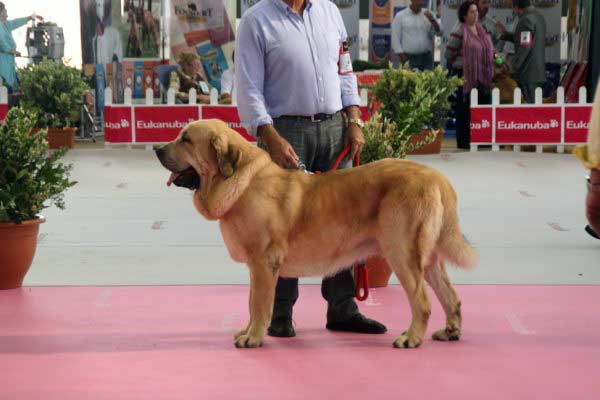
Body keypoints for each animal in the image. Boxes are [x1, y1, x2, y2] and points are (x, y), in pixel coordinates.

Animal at [156, 120, 478, 348]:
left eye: (186, 139)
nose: (157, 149)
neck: (240, 181)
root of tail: (437, 177)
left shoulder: (263, 263)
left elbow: (259, 303)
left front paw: (254, 337)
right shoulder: (256, 267)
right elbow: (251, 302)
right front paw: (247, 331)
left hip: (402, 253)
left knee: (422, 303)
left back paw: (410, 338)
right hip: (428, 258)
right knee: (451, 298)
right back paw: (451, 331)